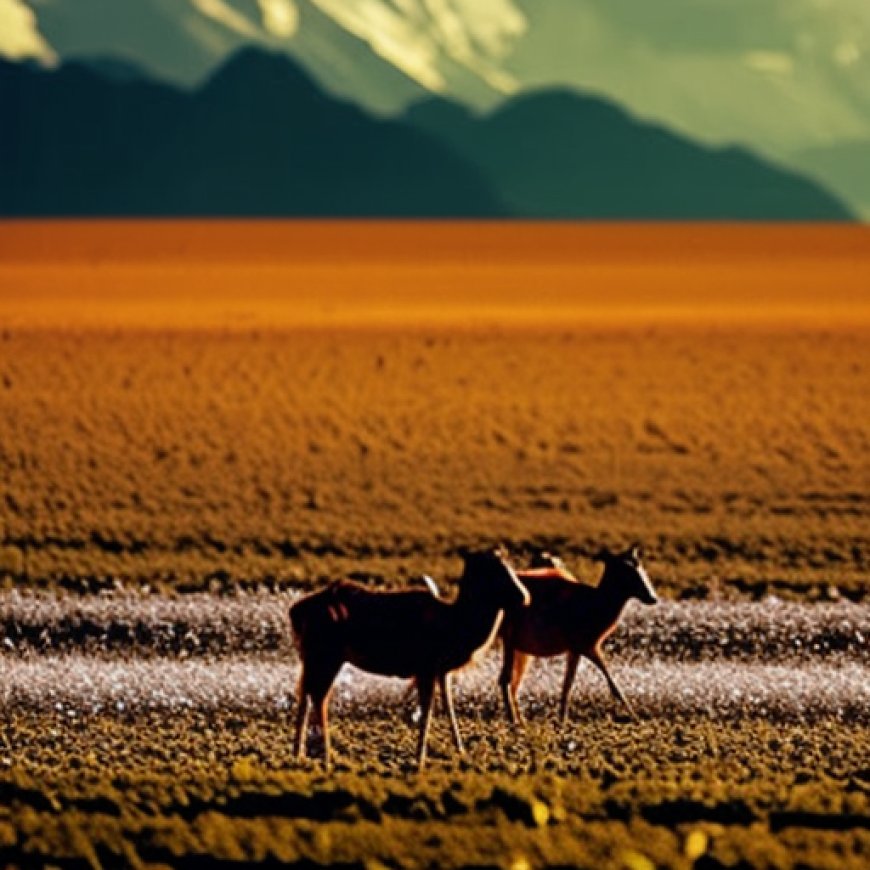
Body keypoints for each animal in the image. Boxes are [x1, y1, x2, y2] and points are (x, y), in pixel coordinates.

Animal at [292, 552, 532, 768]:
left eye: (509, 567)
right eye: (494, 571)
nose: (525, 596)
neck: (456, 630)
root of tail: (295, 611)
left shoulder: (441, 670)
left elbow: (449, 706)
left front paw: (460, 751)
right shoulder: (426, 666)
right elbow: (428, 711)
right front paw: (420, 759)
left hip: (312, 657)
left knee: (305, 695)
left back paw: (300, 754)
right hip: (326, 655)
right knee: (318, 697)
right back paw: (327, 758)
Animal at [500, 548, 656, 724]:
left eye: (641, 568)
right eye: (626, 571)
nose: (653, 597)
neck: (595, 606)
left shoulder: (576, 649)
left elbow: (568, 685)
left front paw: (562, 721)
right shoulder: (587, 645)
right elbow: (613, 685)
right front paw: (637, 719)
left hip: (519, 648)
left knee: (512, 682)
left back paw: (521, 720)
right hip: (510, 639)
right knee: (506, 680)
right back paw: (514, 722)